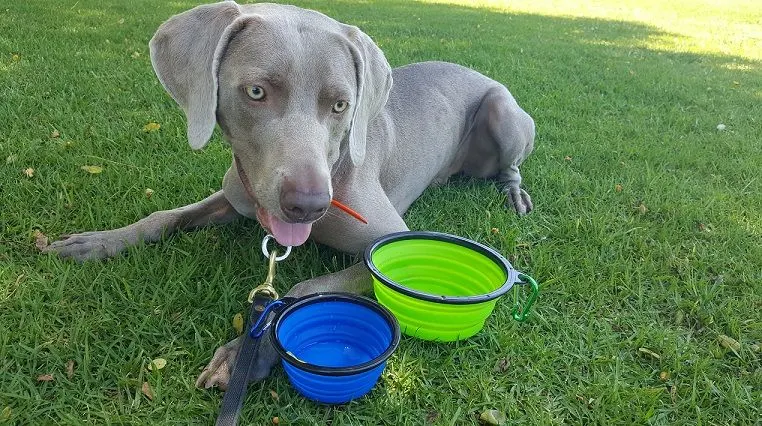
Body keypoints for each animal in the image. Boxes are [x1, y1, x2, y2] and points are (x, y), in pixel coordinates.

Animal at [46, 1, 536, 390]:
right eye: (256, 91)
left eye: (340, 105)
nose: (309, 206)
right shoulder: (236, 195)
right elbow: (165, 217)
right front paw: (94, 242)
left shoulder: (386, 240)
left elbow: (304, 287)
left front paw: (245, 352)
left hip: (503, 111)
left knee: (511, 168)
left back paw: (515, 197)